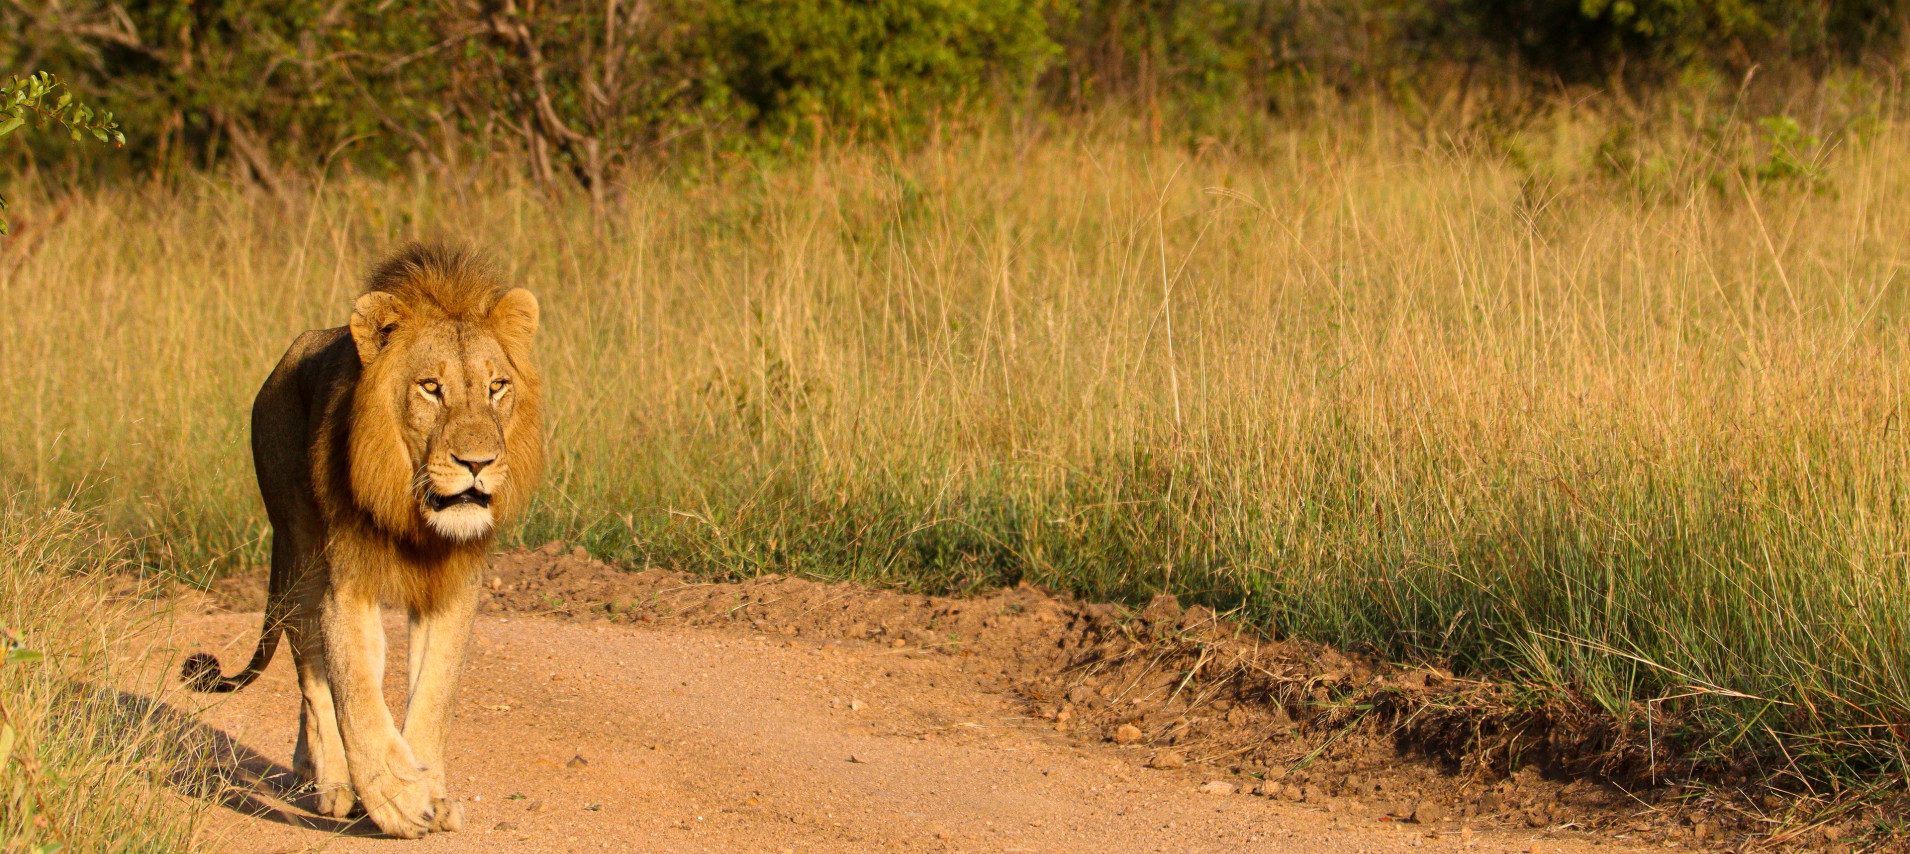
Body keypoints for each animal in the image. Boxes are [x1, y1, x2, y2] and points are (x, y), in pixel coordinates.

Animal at [180, 243, 543, 838]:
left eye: (497, 387)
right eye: (430, 387)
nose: (478, 464)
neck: (416, 516)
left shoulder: (453, 590)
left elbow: (435, 694)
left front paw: (431, 793)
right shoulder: (347, 585)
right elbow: (356, 694)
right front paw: (398, 799)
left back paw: (309, 769)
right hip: (301, 554)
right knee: (312, 675)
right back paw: (331, 782)